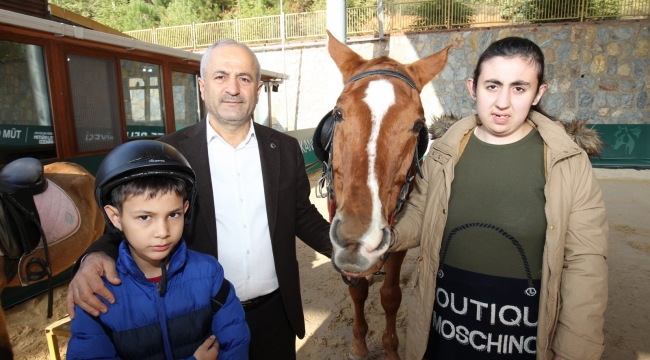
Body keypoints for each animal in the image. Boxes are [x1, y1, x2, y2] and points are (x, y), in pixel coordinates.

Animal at [316, 32, 448, 358]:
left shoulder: (399, 229)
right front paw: (359, 344)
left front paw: (389, 348)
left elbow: (390, 295)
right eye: (338, 114)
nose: (357, 239)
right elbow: (357, 290)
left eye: (418, 125)